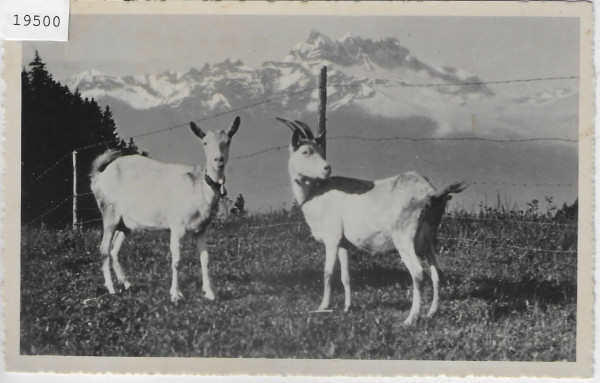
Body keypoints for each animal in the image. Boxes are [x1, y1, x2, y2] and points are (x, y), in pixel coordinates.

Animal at [89, 117, 239, 304]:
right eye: (205, 142)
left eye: (228, 140)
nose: (218, 159)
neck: (199, 187)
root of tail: (99, 176)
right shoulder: (177, 226)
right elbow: (177, 260)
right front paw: (176, 294)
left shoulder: (201, 229)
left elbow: (205, 258)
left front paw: (210, 292)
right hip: (109, 213)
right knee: (103, 249)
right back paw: (111, 289)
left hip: (126, 223)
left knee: (114, 249)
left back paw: (127, 283)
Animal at [276, 118, 464, 326]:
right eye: (305, 151)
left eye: (318, 150)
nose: (327, 168)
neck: (315, 194)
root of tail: (431, 193)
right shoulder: (344, 243)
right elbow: (346, 275)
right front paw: (347, 307)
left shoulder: (332, 238)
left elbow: (328, 272)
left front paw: (323, 306)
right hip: (427, 240)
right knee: (437, 273)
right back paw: (432, 313)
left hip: (404, 238)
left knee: (418, 274)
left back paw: (410, 319)